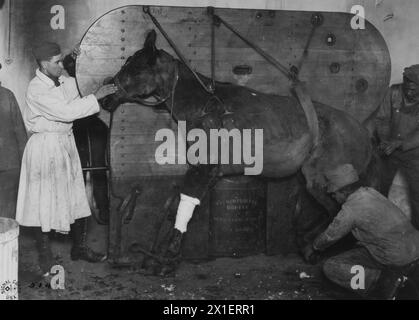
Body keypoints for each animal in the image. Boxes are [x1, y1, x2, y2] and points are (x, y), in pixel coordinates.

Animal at [101, 29, 380, 276]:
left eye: (135, 68)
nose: (105, 98)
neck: (205, 106)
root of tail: (363, 133)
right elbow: (175, 208)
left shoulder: (204, 169)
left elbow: (183, 209)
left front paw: (166, 260)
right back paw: (306, 243)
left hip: (322, 180)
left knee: (337, 212)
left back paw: (311, 246)